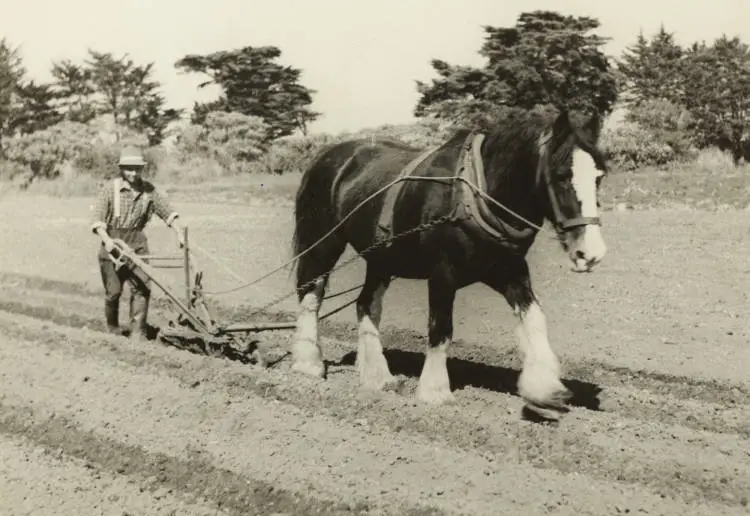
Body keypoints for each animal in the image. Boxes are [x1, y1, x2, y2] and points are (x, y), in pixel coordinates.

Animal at [290, 110, 612, 420]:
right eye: (561, 176)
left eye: (598, 176)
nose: (592, 253)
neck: (476, 193)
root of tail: (328, 153)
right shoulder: (443, 273)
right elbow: (441, 327)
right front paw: (434, 392)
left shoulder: (507, 269)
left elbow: (534, 318)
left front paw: (544, 390)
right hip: (322, 241)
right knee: (311, 294)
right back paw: (308, 363)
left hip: (381, 257)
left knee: (366, 304)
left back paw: (378, 376)